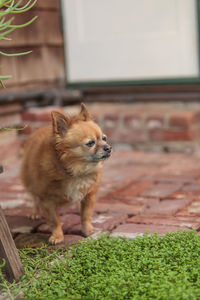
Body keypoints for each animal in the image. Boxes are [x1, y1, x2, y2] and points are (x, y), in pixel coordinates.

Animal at [21, 103, 111, 244]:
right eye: (90, 143)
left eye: (104, 138)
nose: (108, 148)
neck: (77, 170)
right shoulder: (48, 200)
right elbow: (54, 221)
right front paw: (57, 236)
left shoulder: (89, 195)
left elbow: (86, 215)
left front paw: (88, 230)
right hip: (30, 181)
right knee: (35, 197)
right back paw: (35, 212)